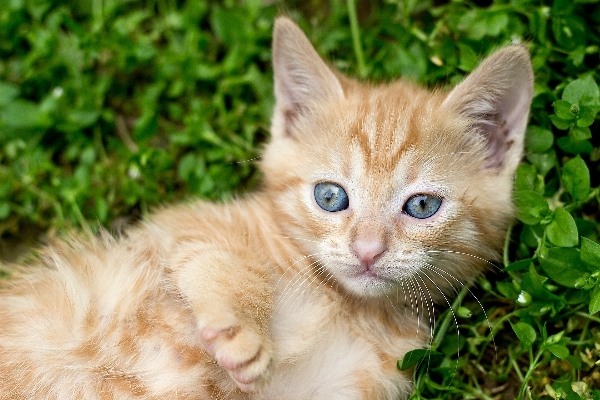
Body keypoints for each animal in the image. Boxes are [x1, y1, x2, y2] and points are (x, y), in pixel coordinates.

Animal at [0, 16, 536, 400]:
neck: (349, 307)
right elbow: (222, 258)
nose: (367, 250)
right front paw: (243, 331)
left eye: (422, 205)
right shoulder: (174, 231)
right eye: (330, 197)